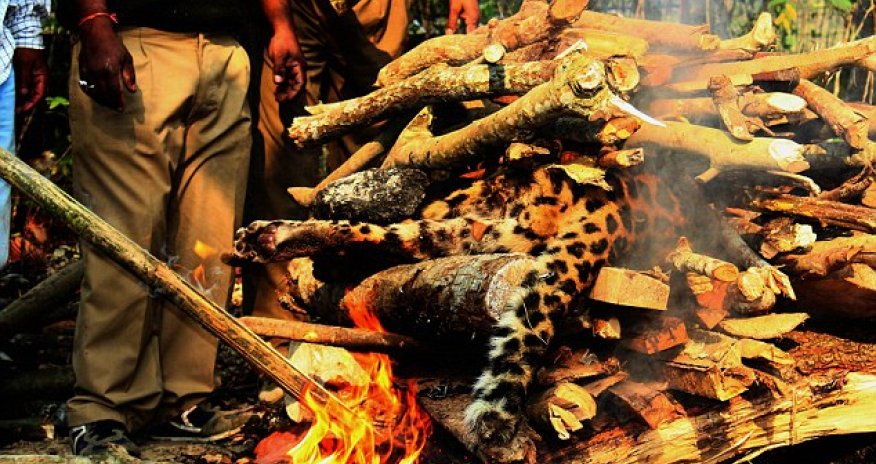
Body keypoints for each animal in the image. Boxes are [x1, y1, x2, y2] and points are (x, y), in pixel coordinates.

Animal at [230, 161, 686, 449]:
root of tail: (604, 207)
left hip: (473, 226)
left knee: (379, 234)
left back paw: (272, 240)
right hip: (478, 229)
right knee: (381, 235)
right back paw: (269, 240)